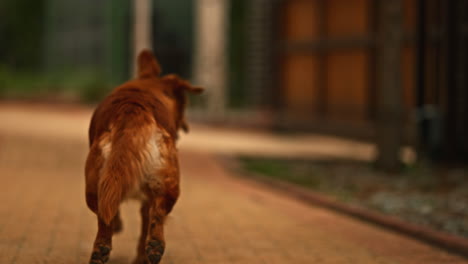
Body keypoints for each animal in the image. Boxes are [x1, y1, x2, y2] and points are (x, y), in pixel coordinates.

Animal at [85, 50, 202, 264]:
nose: (185, 126)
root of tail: (133, 110)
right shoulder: (147, 199)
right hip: (167, 186)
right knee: (157, 215)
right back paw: (153, 248)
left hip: (95, 186)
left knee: (105, 218)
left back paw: (103, 250)